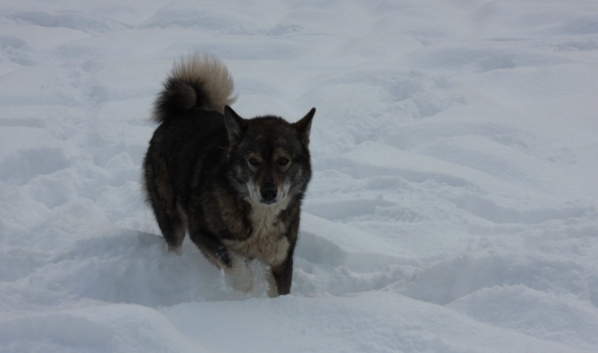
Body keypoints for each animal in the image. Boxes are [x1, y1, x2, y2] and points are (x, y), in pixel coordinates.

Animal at [143, 53, 316, 296]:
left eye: (283, 161)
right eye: (253, 161)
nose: (269, 193)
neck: (259, 219)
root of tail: (184, 111)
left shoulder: (281, 258)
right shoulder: (202, 233)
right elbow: (236, 266)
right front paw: (244, 291)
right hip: (170, 216)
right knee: (174, 243)